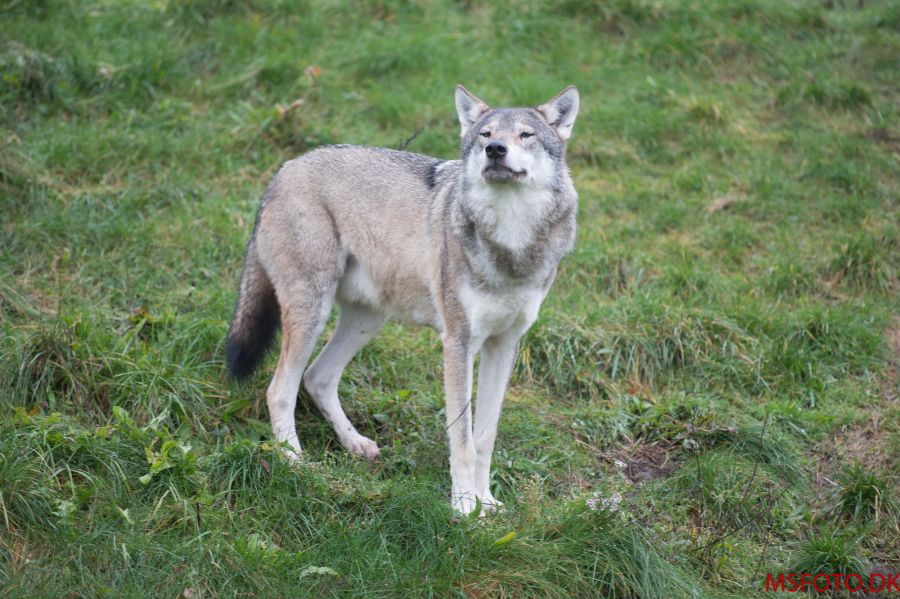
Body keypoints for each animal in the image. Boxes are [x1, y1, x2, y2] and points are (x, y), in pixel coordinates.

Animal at [224, 85, 576, 516]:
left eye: (526, 135)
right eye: (485, 134)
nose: (495, 150)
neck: (510, 242)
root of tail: (286, 167)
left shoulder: (504, 345)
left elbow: (484, 437)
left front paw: (487, 502)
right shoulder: (458, 344)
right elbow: (462, 439)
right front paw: (464, 508)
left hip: (367, 320)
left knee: (317, 377)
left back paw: (355, 444)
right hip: (313, 311)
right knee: (280, 390)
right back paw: (294, 462)